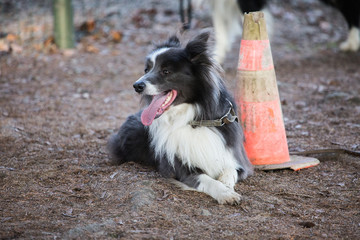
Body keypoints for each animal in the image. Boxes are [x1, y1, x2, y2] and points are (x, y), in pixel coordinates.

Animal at [108, 31, 252, 204]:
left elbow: (230, 170)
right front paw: (225, 193)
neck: (193, 120)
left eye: (166, 71)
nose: (137, 86)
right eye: (146, 70)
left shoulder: (237, 161)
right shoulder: (180, 169)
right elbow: (208, 180)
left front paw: (226, 185)